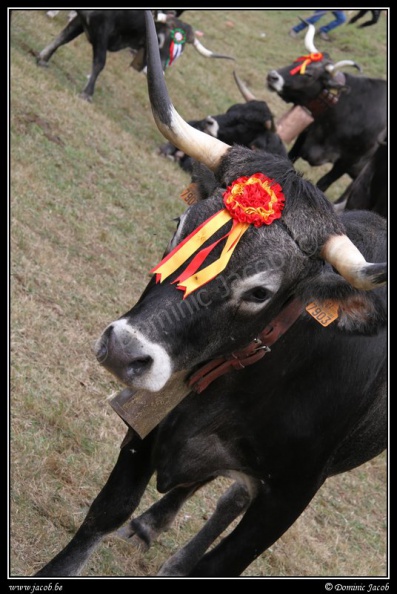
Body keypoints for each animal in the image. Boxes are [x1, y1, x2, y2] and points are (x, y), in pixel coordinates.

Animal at [35, 8, 234, 100]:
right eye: (160, 40)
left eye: (180, 52)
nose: (160, 72)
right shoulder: (99, 29)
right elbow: (99, 61)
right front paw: (87, 93)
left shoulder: (84, 22)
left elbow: (62, 37)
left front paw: (43, 58)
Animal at [264, 23, 386, 192]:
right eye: (297, 61)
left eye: (309, 75)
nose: (272, 76)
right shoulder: (304, 136)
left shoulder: (348, 161)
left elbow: (323, 183)